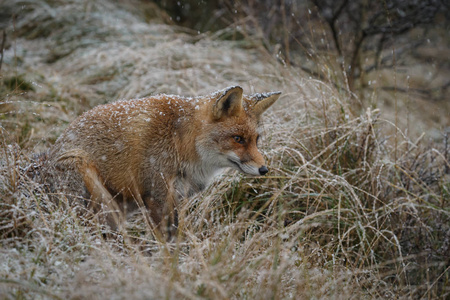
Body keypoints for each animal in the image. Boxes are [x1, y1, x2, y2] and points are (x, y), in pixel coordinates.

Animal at [47, 85, 284, 236]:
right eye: (238, 139)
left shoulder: (176, 197)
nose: (264, 169)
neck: (180, 141)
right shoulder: (157, 195)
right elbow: (166, 242)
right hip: (89, 179)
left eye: (255, 140)